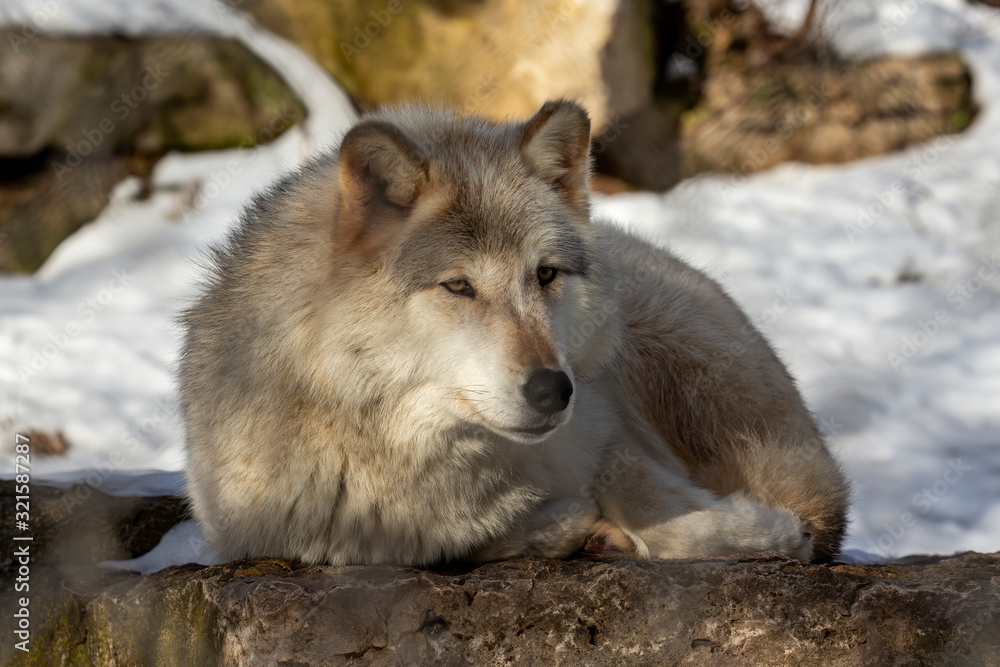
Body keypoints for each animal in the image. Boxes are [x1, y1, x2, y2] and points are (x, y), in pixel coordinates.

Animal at [180, 100, 850, 567]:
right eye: (458, 286)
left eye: (545, 274)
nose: (555, 390)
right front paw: (561, 526)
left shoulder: (613, 436)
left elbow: (650, 506)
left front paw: (766, 531)